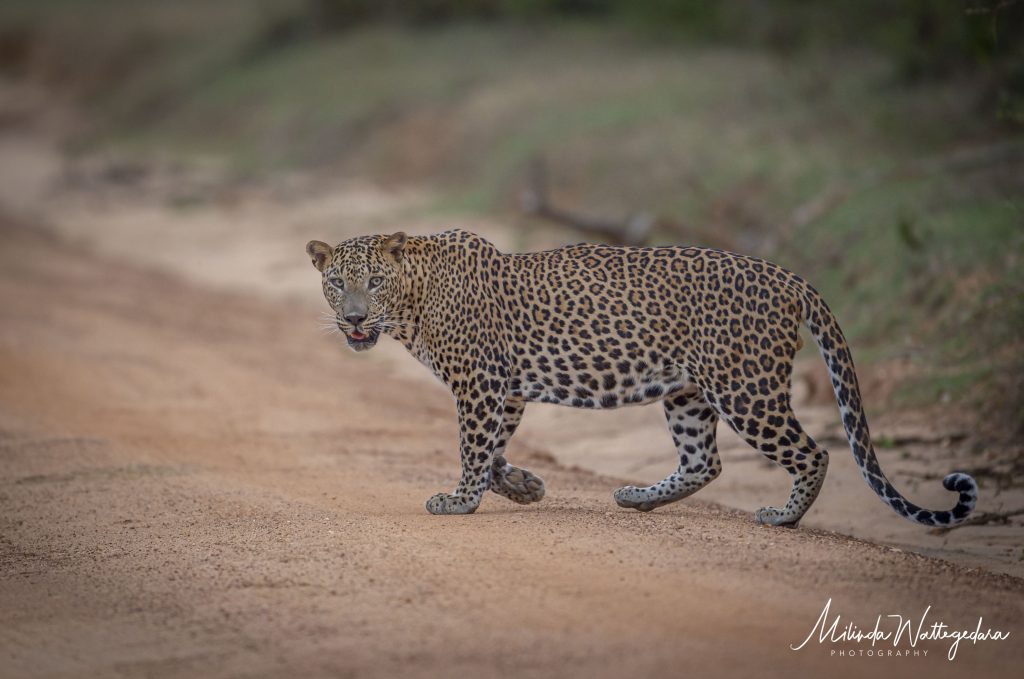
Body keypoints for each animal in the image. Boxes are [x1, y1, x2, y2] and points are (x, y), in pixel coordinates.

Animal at [305, 229, 978, 527]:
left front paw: (461, 500)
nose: (354, 318)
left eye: (374, 282)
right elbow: (494, 450)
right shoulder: (508, 390)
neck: (412, 302)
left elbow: (473, 448)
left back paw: (783, 516)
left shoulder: (481, 383)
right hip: (688, 392)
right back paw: (639, 497)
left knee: (813, 452)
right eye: (337, 283)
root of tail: (789, 277)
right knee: (705, 461)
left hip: (746, 387)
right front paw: (524, 487)